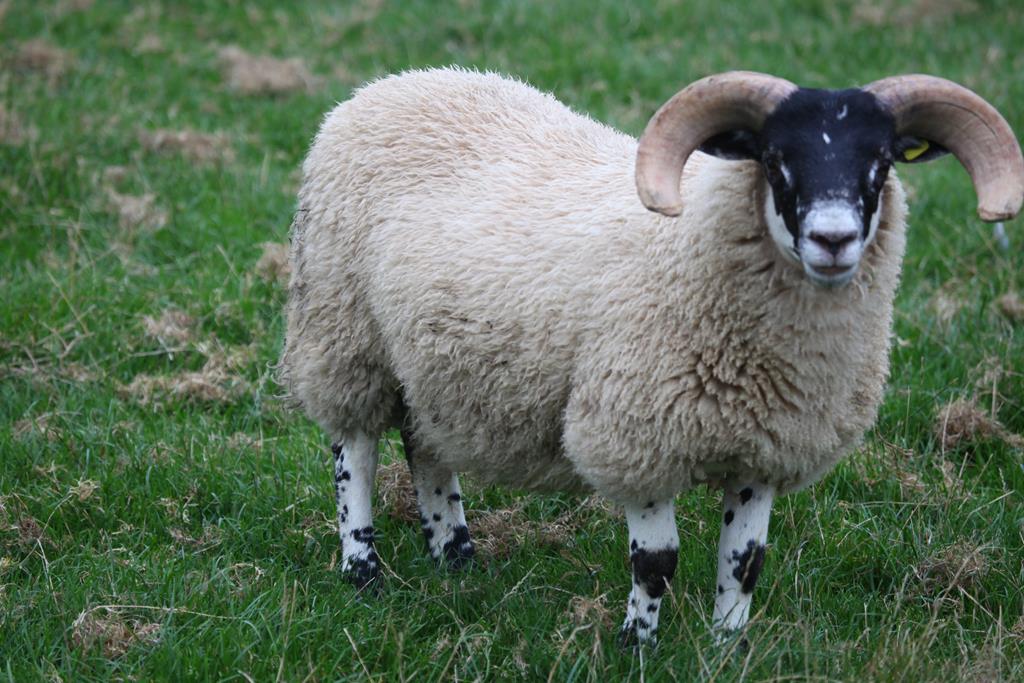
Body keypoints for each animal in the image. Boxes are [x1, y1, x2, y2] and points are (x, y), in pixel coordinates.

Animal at [279, 67, 1023, 645]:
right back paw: (363, 571)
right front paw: (636, 644)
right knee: (356, 452)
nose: (833, 239)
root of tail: (394, 83)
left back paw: (455, 556)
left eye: (883, 160)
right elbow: (657, 560)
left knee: (426, 445)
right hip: (343, 331)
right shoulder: (636, 434)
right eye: (773, 159)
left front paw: (729, 646)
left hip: (434, 357)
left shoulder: (763, 444)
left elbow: (745, 559)